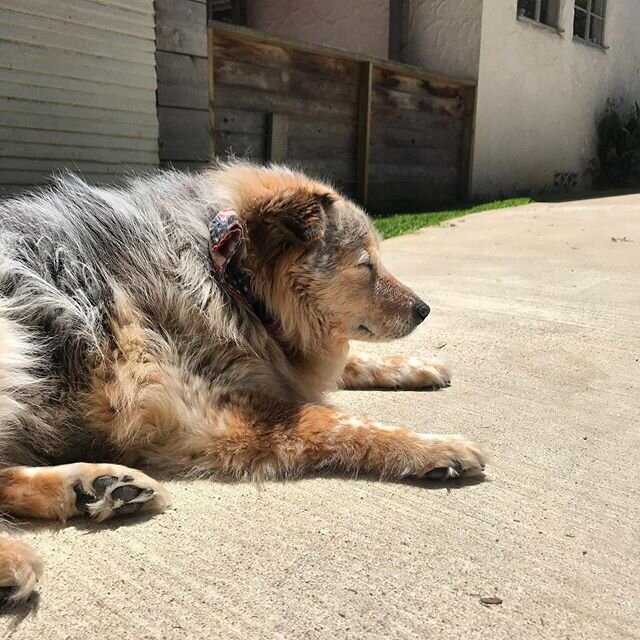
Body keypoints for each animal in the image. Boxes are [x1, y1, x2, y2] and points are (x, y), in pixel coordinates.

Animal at [0, 161, 482, 600]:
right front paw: (435, 446)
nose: (424, 309)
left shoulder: (277, 356)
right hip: (14, 344)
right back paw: (14, 559)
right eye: (365, 265)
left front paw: (421, 367)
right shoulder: (202, 414)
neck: (229, 280)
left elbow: (352, 362)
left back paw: (96, 487)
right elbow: (337, 422)